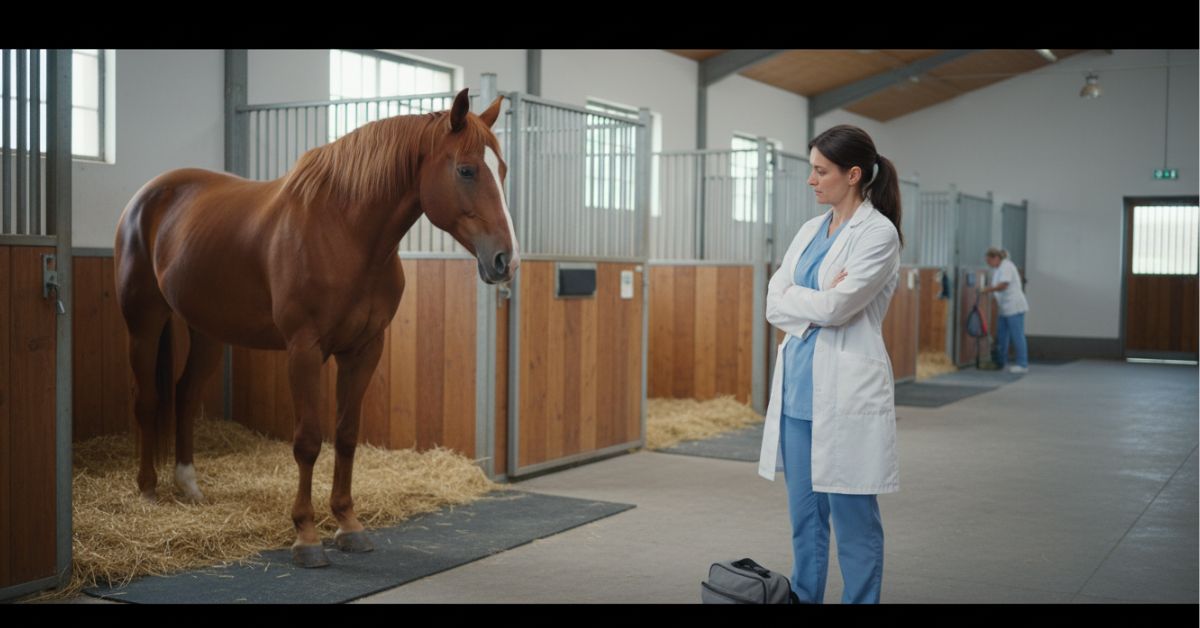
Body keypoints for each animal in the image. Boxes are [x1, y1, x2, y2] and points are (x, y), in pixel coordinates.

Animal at [113, 88, 519, 568]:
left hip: (207, 331)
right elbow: (308, 441)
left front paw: (348, 525)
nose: (505, 260)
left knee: (185, 394)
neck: (344, 232)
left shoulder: (364, 349)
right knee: (146, 399)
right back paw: (148, 490)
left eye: (502, 169)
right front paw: (306, 536)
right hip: (143, 321)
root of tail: (146, 197)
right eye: (466, 169)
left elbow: (345, 435)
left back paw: (189, 486)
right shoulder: (304, 350)